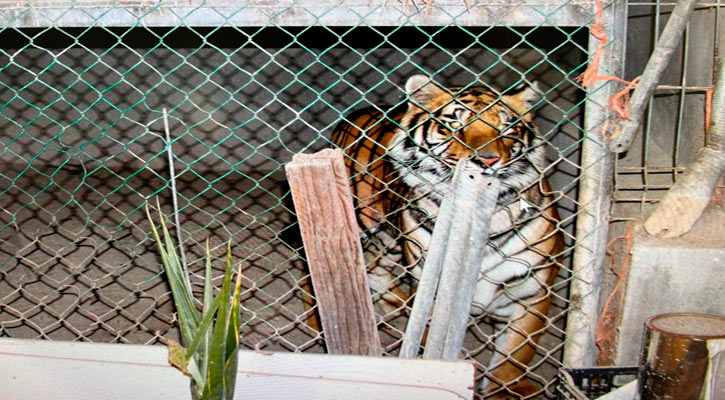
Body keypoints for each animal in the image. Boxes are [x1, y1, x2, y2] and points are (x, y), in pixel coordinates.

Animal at [330, 74, 564, 396]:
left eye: (506, 126)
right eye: (454, 123)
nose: (486, 161)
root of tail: (360, 111)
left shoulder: (532, 293)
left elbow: (513, 358)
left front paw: (505, 389)